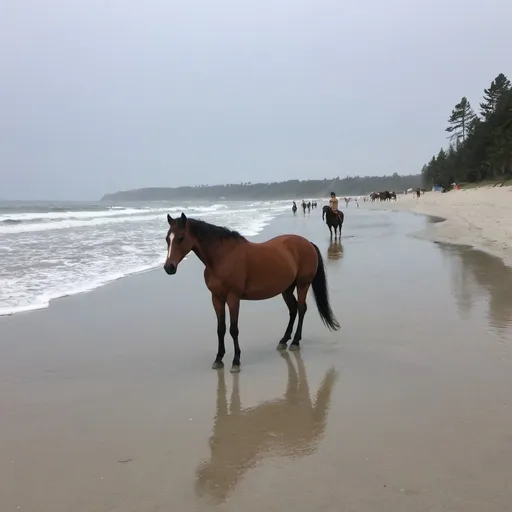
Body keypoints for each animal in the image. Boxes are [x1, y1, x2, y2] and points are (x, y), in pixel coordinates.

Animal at [164, 212, 340, 372]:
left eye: (180, 238)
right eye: (167, 238)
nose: (168, 267)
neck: (223, 257)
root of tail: (308, 243)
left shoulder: (233, 298)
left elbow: (233, 329)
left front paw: (236, 361)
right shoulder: (217, 298)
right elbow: (220, 329)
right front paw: (218, 359)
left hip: (303, 285)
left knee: (302, 309)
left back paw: (295, 342)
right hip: (286, 289)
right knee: (293, 309)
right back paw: (284, 340)